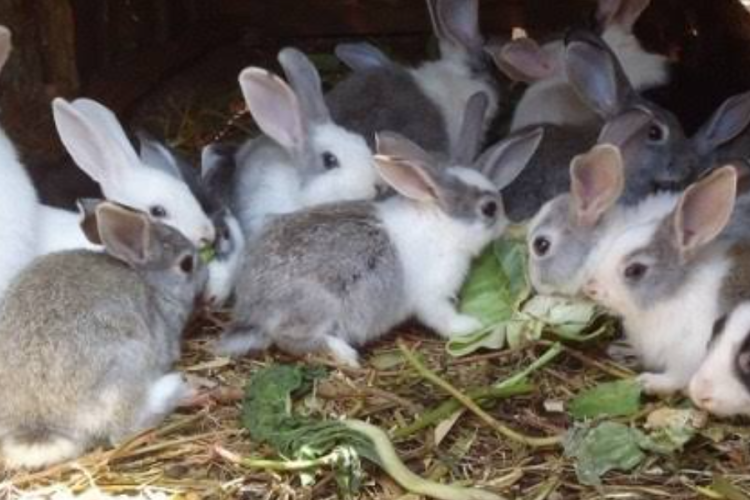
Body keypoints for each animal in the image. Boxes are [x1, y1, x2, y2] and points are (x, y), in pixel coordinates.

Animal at [0, 200, 207, 470]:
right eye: (186, 264)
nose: (206, 274)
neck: (149, 282)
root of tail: (40, 423)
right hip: (127, 364)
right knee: (126, 428)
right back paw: (183, 389)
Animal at [215, 113, 543, 366]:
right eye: (489, 209)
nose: (508, 225)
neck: (443, 223)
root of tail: (253, 309)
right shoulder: (433, 296)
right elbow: (443, 318)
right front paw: (472, 325)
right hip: (317, 306)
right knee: (292, 338)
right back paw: (346, 355)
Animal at [581, 165, 746, 395]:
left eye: (635, 270)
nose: (590, 288)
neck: (674, 293)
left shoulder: (687, 357)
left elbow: (675, 379)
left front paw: (648, 381)